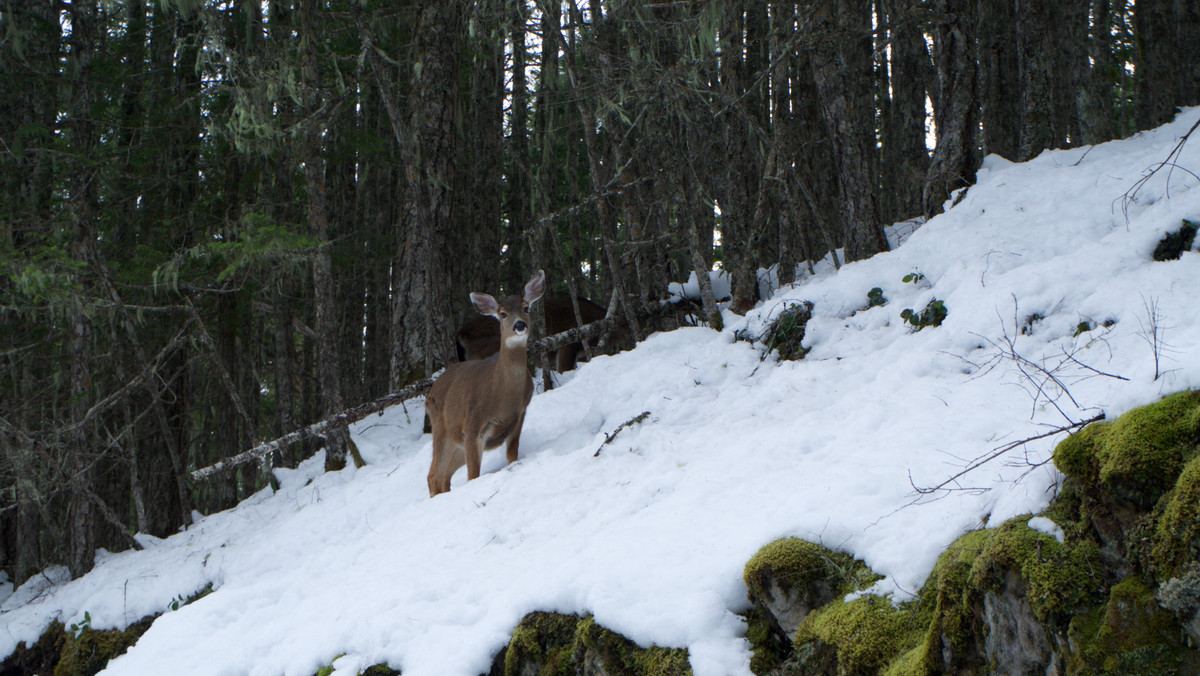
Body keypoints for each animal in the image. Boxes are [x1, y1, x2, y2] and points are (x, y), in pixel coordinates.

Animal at [424, 270, 547, 497]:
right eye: (503, 313)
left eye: (526, 307)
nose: (520, 325)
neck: (503, 393)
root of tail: (430, 393)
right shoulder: (473, 425)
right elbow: (473, 476)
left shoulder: (518, 418)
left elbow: (511, 457)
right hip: (442, 428)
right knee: (433, 475)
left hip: (456, 443)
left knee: (443, 476)